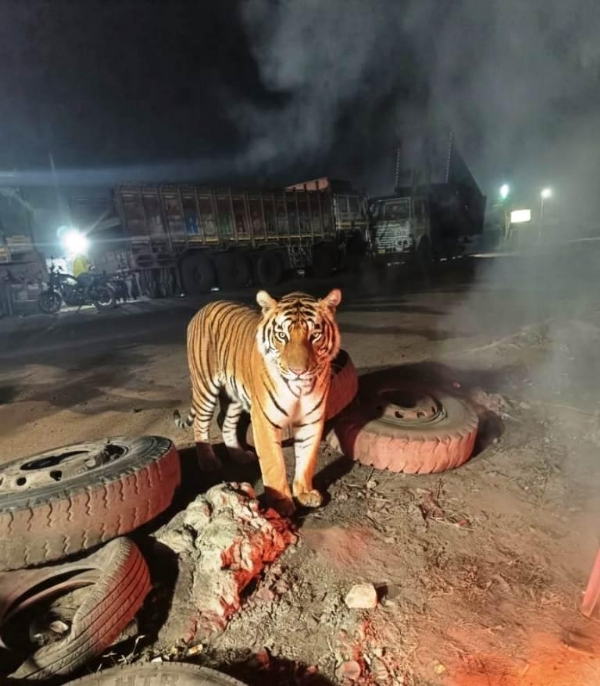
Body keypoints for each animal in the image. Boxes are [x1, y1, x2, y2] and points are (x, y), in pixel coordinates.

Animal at [174, 288, 342, 516]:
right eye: (282, 336)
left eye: (314, 335)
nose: (298, 371)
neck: (299, 389)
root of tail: (204, 307)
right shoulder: (264, 420)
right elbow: (273, 464)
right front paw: (281, 503)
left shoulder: (311, 420)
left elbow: (307, 459)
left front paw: (305, 493)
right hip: (205, 386)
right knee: (201, 425)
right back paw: (209, 462)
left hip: (234, 397)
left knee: (225, 423)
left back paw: (239, 455)